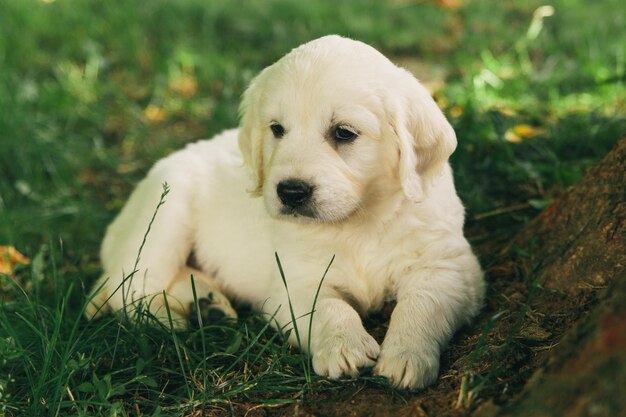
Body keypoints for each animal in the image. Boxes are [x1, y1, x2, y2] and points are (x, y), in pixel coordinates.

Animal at [86, 35, 482, 390]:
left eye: (344, 133)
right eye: (277, 129)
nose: (291, 192)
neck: (359, 220)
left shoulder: (447, 269)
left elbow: (421, 306)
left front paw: (406, 357)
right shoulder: (294, 283)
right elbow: (328, 308)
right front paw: (345, 346)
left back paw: (205, 305)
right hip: (163, 215)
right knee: (130, 292)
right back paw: (174, 321)